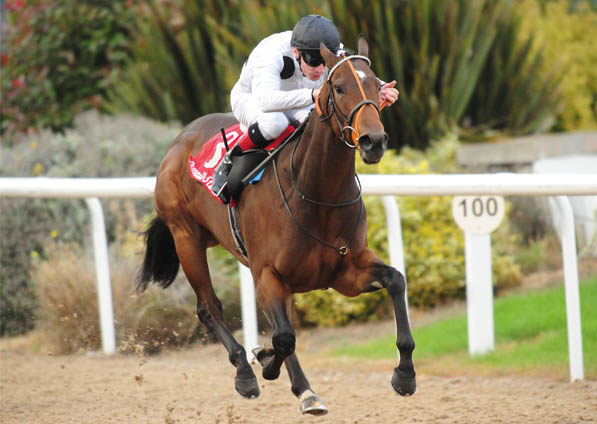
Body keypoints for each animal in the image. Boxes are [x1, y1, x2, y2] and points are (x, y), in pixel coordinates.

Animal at [137, 36, 414, 414]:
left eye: (375, 85)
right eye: (339, 87)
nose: (374, 141)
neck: (315, 193)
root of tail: (179, 141)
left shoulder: (347, 273)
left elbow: (396, 280)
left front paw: (405, 374)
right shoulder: (267, 273)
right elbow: (283, 338)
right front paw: (264, 360)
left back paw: (300, 386)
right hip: (187, 239)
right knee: (210, 308)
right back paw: (245, 372)